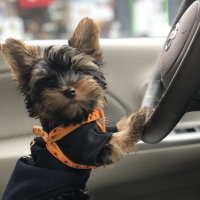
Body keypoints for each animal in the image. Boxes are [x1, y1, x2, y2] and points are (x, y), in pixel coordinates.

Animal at [1, 17, 153, 200]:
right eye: (49, 81)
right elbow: (118, 138)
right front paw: (140, 118)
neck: (73, 120)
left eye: (79, 70)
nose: (69, 90)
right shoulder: (88, 146)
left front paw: (131, 118)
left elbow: (114, 128)